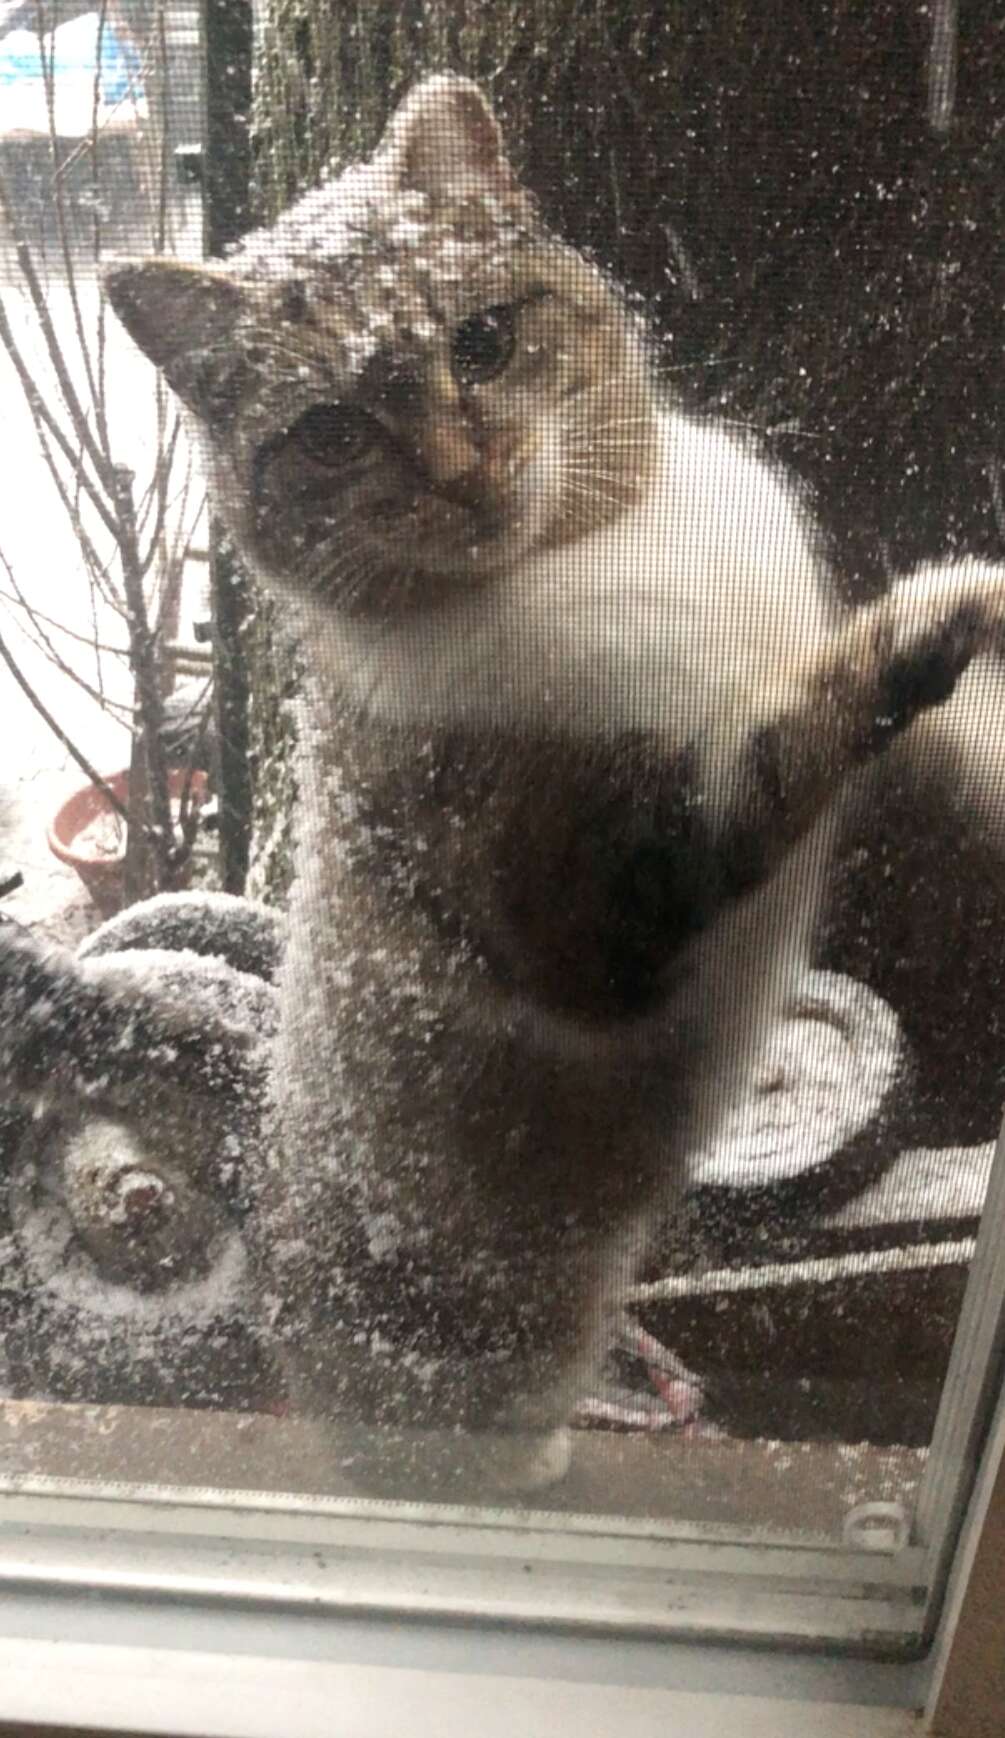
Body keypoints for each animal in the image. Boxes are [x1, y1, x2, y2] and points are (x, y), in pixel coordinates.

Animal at [5, 71, 994, 1494]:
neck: (598, 555)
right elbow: (784, 740)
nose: (460, 471)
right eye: (330, 433)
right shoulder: (601, 906)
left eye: (480, 341)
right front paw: (930, 621)